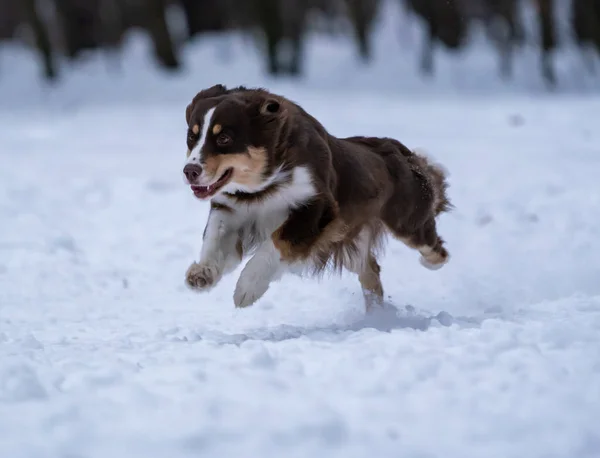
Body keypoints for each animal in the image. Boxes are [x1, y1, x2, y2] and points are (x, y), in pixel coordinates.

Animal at [182, 84, 450, 310]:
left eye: (224, 138)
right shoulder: (230, 208)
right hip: (347, 239)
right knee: (370, 268)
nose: (189, 171)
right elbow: (216, 239)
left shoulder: (318, 207)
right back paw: (377, 313)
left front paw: (247, 289)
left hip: (406, 219)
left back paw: (430, 263)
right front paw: (202, 274)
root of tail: (400, 150)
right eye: (192, 136)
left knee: (433, 247)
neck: (262, 186)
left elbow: (276, 242)